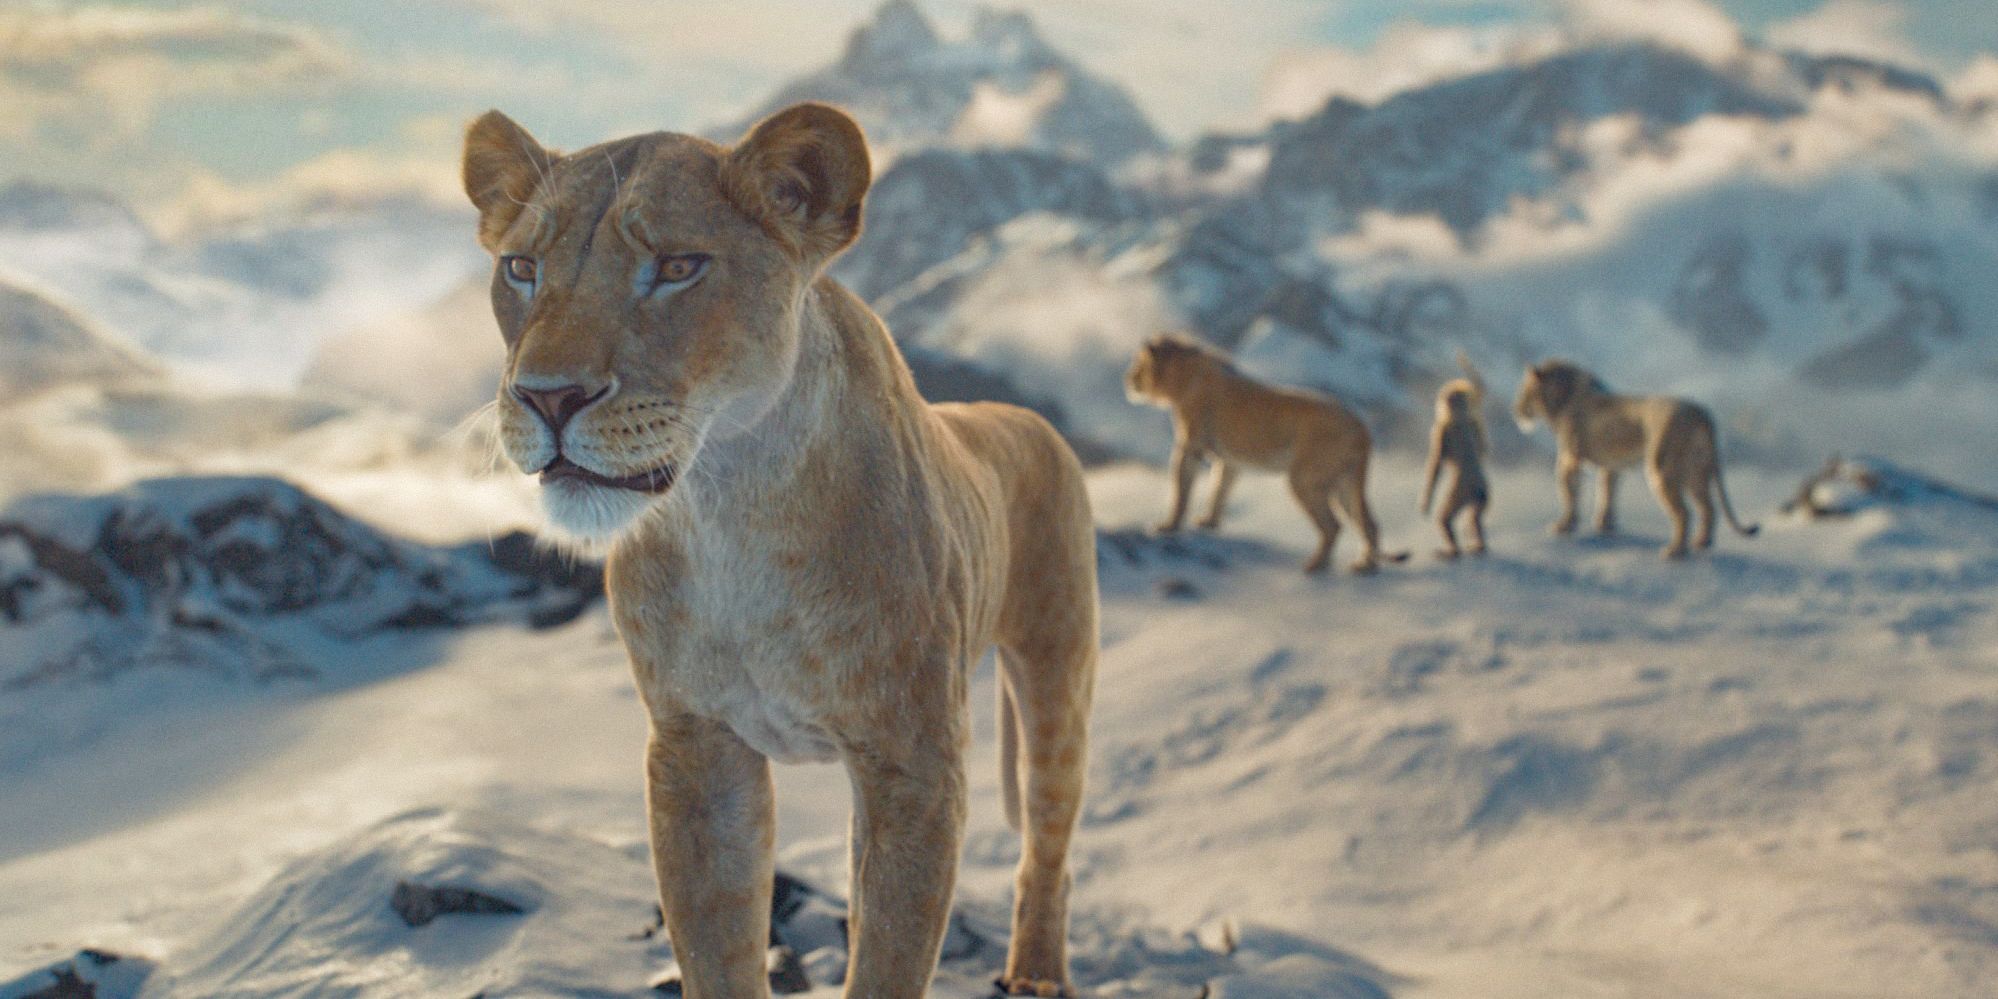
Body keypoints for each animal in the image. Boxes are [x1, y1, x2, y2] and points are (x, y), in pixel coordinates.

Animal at [462, 102, 1097, 998]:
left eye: (677, 266)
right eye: (521, 267)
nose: (548, 396)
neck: (731, 507)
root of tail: (1028, 419)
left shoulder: (914, 765)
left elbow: (889, 960)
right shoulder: (694, 748)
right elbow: (718, 948)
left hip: (1056, 676)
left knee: (1049, 838)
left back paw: (1037, 971)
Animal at [1124, 334, 1406, 574]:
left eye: (1138, 364)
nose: (1127, 380)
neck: (1182, 377)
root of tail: (1362, 427)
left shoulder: (1190, 448)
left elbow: (1181, 490)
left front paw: (1168, 526)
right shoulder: (1229, 460)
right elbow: (1219, 489)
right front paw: (1209, 523)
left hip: (1305, 479)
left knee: (1333, 526)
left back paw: (1315, 566)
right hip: (1344, 481)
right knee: (1369, 524)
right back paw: (1364, 566)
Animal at [1420, 352, 1491, 559]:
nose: (1439, 400)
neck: (1459, 417)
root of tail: (1477, 488)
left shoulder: (1441, 429)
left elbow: (1436, 463)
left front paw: (1425, 502)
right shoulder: (1472, 421)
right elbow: (1483, 449)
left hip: (1461, 492)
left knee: (1445, 518)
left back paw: (1453, 551)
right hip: (1483, 495)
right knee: (1474, 517)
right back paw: (1479, 545)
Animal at [1512, 359, 1760, 559]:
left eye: (1524, 392)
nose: (1516, 411)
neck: (1561, 398)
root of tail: (1702, 413)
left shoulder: (1569, 459)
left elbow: (1569, 494)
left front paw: (1564, 526)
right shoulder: (1610, 466)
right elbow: (1607, 493)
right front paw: (1605, 525)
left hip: (1662, 468)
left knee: (1684, 513)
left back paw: (1675, 551)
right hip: (1697, 471)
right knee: (1708, 508)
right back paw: (1702, 543)